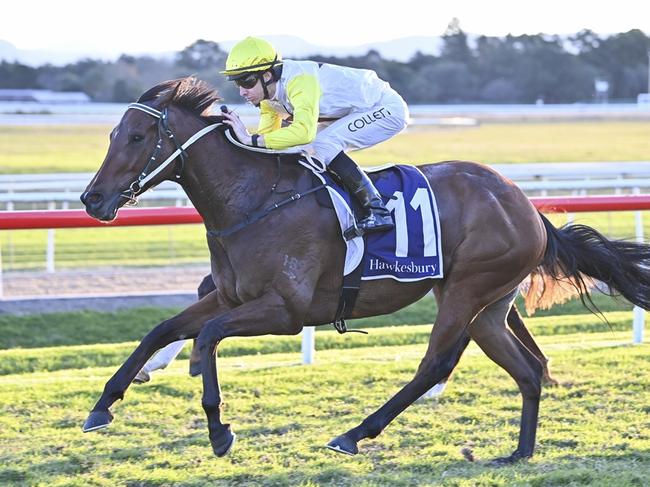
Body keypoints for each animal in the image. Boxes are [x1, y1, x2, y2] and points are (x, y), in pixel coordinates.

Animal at [79, 78, 648, 464]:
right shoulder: (230, 297)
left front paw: (219, 429)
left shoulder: (285, 311)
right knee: (526, 369)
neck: (253, 200)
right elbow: (163, 329)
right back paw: (520, 452)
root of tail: (526, 205)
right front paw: (103, 405)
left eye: (137, 136)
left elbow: (209, 336)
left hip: (467, 290)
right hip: (489, 303)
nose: (92, 200)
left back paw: (353, 434)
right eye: (110, 133)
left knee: (435, 365)